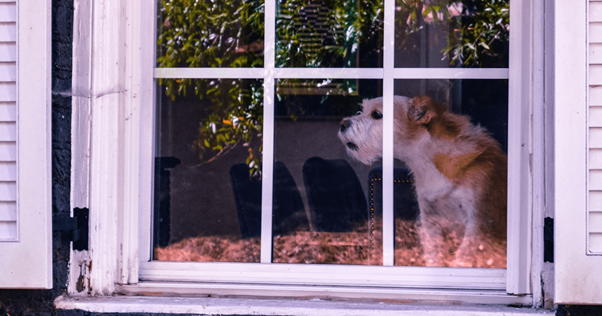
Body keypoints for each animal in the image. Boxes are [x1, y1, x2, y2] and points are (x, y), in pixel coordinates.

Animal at [338, 95, 506, 266]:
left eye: (377, 114)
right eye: (363, 109)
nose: (342, 123)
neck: (427, 162)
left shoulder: (478, 223)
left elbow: (461, 258)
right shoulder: (430, 222)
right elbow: (434, 258)